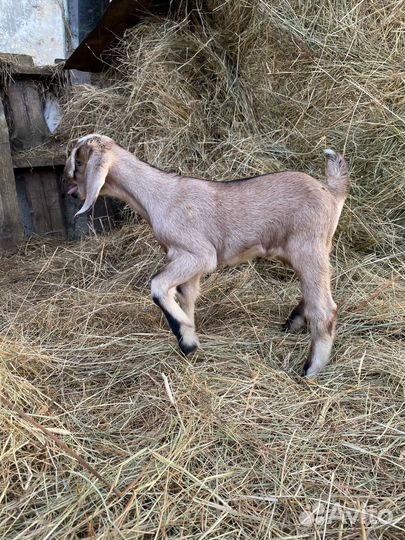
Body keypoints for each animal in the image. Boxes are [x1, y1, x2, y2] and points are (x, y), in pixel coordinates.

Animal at [64, 134, 348, 376]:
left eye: (78, 162)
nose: (70, 191)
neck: (158, 195)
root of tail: (332, 192)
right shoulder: (183, 260)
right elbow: (185, 295)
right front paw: (189, 338)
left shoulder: (198, 254)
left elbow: (158, 286)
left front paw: (186, 338)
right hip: (307, 250)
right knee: (314, 294)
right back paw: (293, 323)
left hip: (308, 247)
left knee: (325, 308)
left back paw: (310, 369)